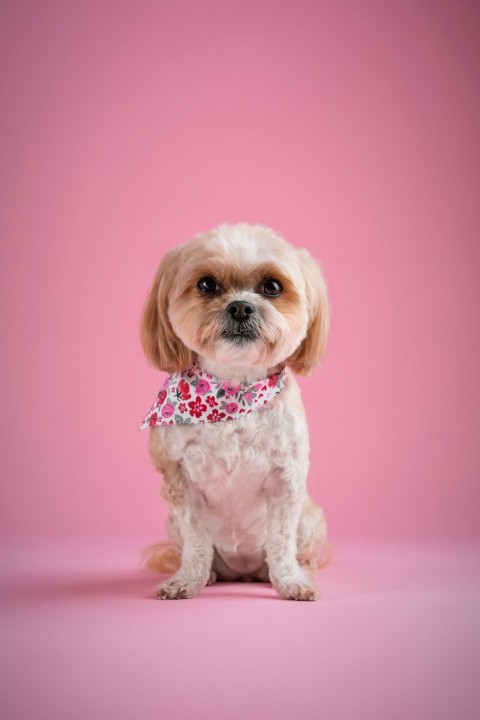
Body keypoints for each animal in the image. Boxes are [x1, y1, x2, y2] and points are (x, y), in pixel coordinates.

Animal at [140, 222, 330, 600]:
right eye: (206, 285)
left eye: (272, 287)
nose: (240, 307)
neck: (231, 393)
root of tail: (243, 572)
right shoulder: (178, 480)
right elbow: (196, 542)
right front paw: (187, 580)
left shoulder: (287, 480)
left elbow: (282, 543)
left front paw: (291, 582)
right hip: (172, 525)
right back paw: (211, 575)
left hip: (309, 519)